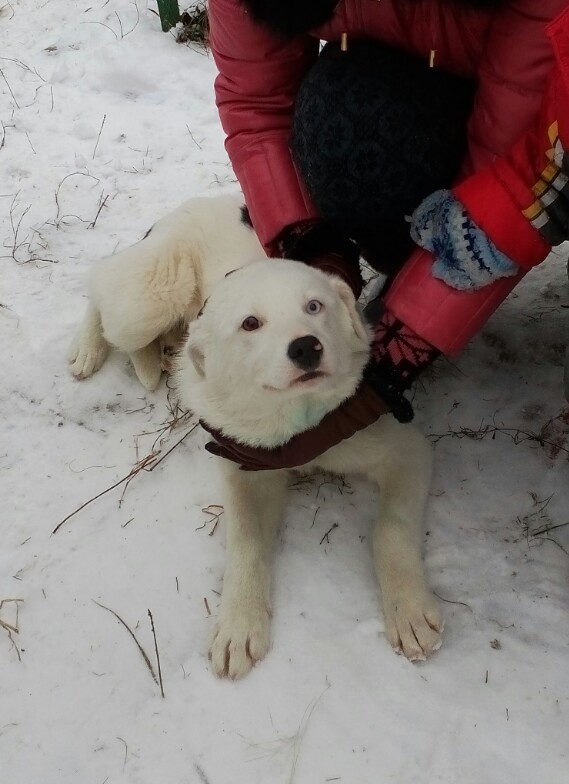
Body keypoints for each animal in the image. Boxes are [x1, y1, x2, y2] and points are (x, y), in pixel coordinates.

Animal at [71, 193, 442, 676]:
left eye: (315, 306)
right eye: (251, 324)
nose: (306, 348)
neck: (295, 414)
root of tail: (191, 205)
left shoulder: (406, 451)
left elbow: (391, 529)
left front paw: (408, 609)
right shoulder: (242, 467)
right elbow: (245, 542)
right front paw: (239, 623)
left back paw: (159, 352)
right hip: (148, 299)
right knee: (101, 289)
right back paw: (91, 348)